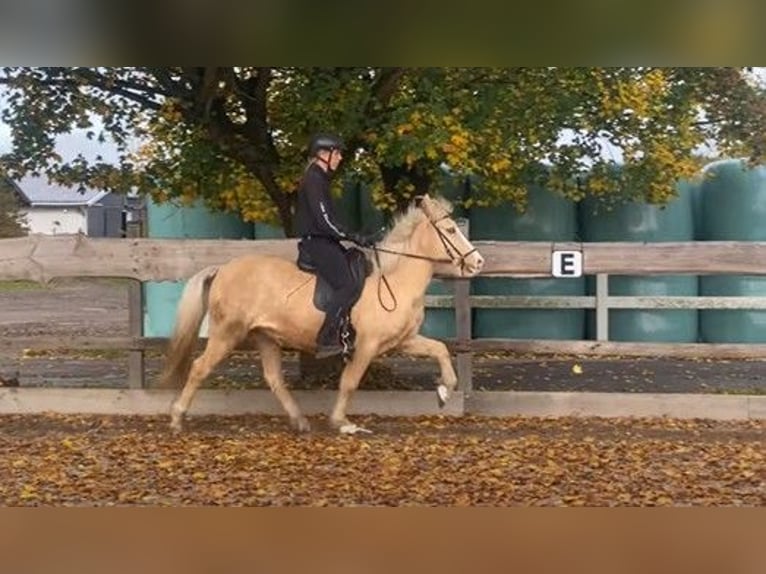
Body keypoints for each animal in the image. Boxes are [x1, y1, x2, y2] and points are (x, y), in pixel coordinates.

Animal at [159, 194, 485, 434]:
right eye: (451, 231)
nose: (479, 262)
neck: (394, 280)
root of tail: (222, 269)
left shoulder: (403, 341)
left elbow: (440, 349)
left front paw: (445, 391)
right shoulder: (366, 346)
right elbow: (350, 382)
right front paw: (342, 422)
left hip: (265, 336)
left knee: (274, 378)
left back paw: (300, 422)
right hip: (228, 333)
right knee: (199, 368)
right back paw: (176, 419)